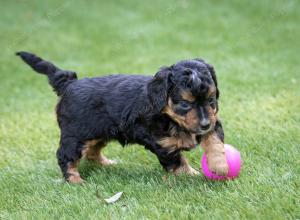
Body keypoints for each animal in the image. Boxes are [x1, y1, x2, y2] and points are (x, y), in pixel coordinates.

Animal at [16, 50, 229, 183]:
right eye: (185, 104)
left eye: (211, 99)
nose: (204, 124)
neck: (171, 118)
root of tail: (70, 83)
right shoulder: (163, 144)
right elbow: (178, 162)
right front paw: (191, 175)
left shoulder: (213, 121)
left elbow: (214, 141)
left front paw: (219, 165)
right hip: (75, 136)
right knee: (65, 156)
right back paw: (75, 180)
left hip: (98, 132)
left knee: (92, 151)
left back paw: (107, 164)